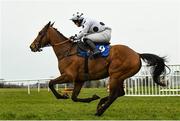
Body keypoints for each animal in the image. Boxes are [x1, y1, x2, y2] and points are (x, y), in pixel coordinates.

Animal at [29, 21, 169, 116]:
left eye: (40, 33)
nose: (32, 46)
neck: (67, 52)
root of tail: (137, 54)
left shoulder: (69, 76)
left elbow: (51, 83)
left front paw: (62, 96)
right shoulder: (79, 80)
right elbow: (74, 97)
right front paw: (92, 97)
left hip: (115, 75)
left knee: (114, 95)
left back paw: (100, 110)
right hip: (120, 77)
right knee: (119, 94)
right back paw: (101, 103)